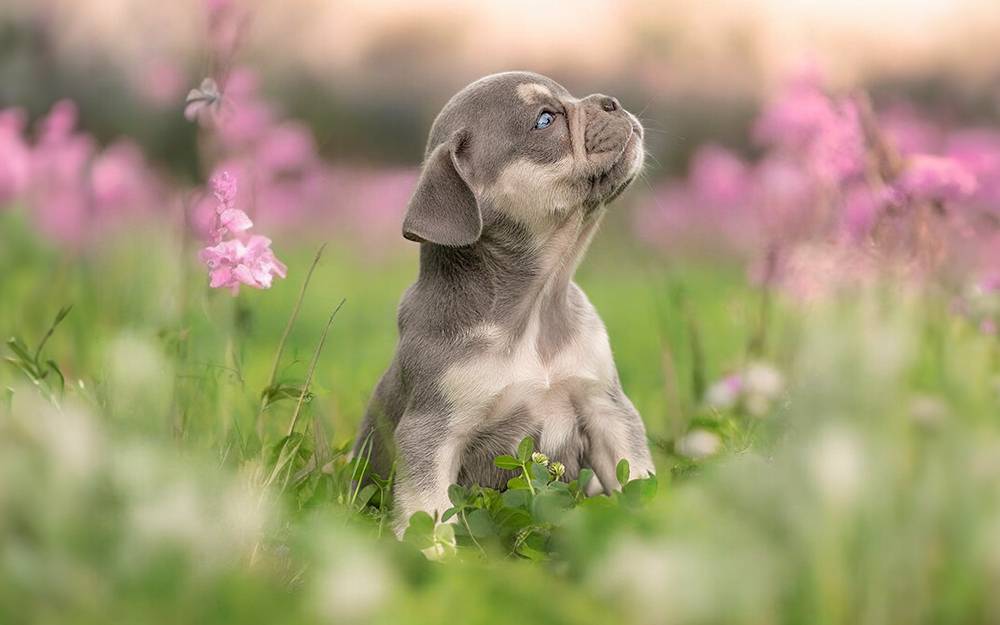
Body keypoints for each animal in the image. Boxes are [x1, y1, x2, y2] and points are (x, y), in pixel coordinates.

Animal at [354, 72, 656, 532]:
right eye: (545, 120)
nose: (611, 102)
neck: (537, 301)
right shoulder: (431, 434)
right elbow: (429, 511)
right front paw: (433, 549)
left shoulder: (608, 409)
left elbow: (636, 476)